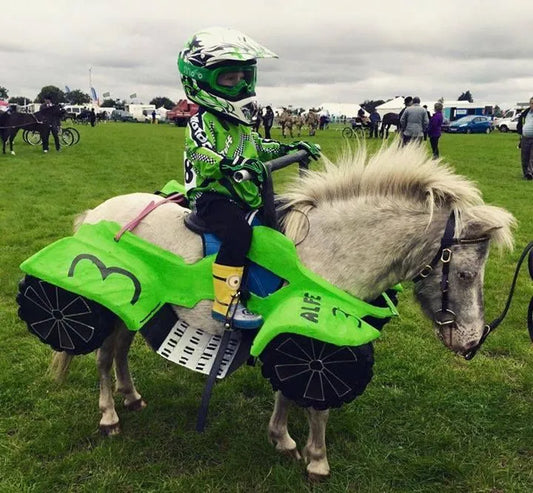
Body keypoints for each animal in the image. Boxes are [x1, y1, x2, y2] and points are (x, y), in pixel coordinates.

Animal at [52, 143, 512, 480]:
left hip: (139, 309)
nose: (472, 341)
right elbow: (317, 405)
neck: (327, 253)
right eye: (466, 273)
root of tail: (96, 213)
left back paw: (131, 397)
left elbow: (288, 392)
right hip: (113, 305)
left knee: (121, 351)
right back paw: (109, 416)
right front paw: (317, 460)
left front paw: (283, 440)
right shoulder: (322, 339)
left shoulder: (295, 334)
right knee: (104, 356)